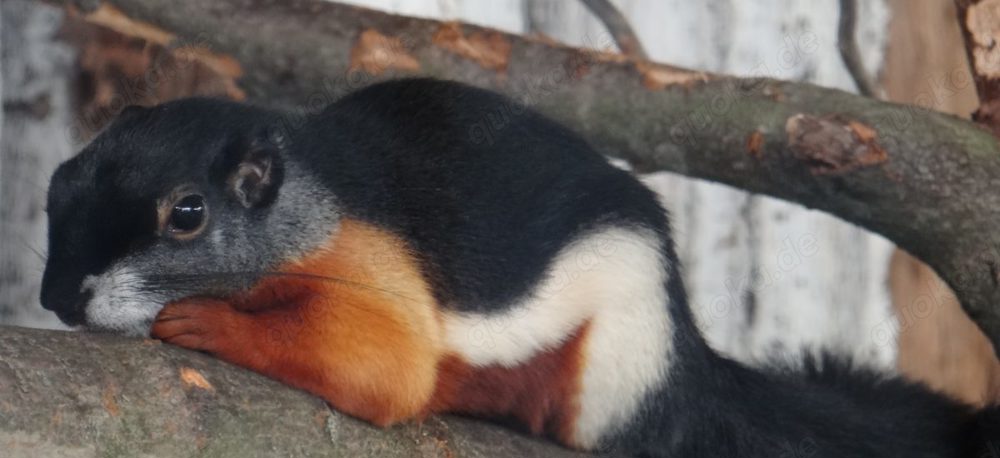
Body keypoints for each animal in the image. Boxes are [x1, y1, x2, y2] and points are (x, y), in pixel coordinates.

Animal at [40, 78, 998, 457]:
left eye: (187, 214)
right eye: (56, 183)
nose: (54, 299)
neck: (315, 196)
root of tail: (691, 366)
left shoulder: (373, 275)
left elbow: (378, 367)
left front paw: (199, 320)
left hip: (614, 368)